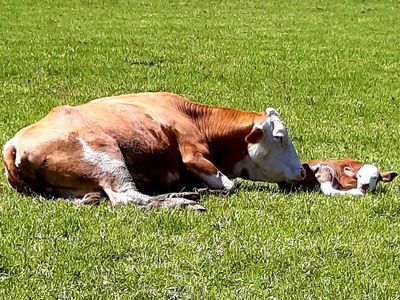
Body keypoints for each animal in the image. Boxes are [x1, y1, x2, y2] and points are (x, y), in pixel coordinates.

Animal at [2, 91, 306, 211]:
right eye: (280, 137)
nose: (303, 171)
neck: (193, 116)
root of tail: (14, 142)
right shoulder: (193, 154)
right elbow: (230, 186)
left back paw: (183, 194)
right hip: (106, 156)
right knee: (126, 198)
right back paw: (183, 202)